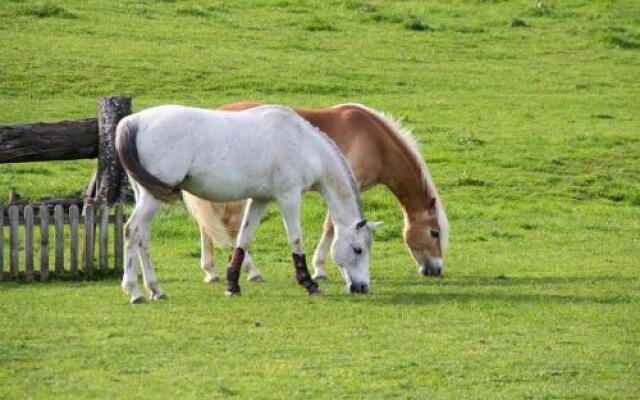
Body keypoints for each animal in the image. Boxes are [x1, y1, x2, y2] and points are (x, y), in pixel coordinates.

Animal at [115, 104, 380, 302]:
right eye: (358, 249)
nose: (362, 287)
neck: (303, 145)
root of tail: (134, 121)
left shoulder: (260, 200)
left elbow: (243, 239)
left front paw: (233, 284)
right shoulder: (289, 197)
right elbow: (296, 240)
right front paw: (308, 283)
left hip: (148, 195)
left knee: (142, 238)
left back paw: (155, 289)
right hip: (151, 198)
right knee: (131, 231)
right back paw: (135, 291)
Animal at [181, 101, 450, 282]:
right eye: (434, 233)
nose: (436, 269)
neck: (375, 142)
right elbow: (331, 226)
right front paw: (319, 268)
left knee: (209, 225)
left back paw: (211, 272)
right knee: (229, 225)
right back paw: (251, 271)